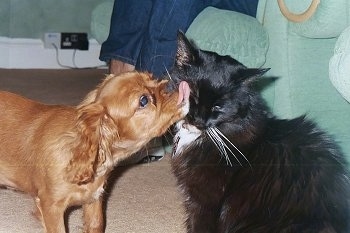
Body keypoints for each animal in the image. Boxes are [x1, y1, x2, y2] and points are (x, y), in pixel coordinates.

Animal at [0, 71, 189, 233]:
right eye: (143, 100)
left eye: (152, 77)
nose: (173, 82)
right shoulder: (51, 206)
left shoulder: (93, 199)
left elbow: (97, 224)